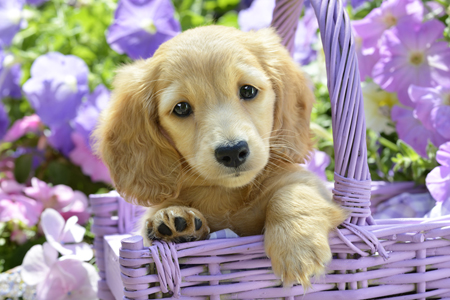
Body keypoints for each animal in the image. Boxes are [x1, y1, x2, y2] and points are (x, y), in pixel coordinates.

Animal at [96, 25, 348, 286]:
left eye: (248, 90)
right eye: (181, 108)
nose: (232, 152)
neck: (226, 194)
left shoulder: (301, 180)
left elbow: (293, 194)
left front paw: (297, 248)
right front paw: (170, 217)